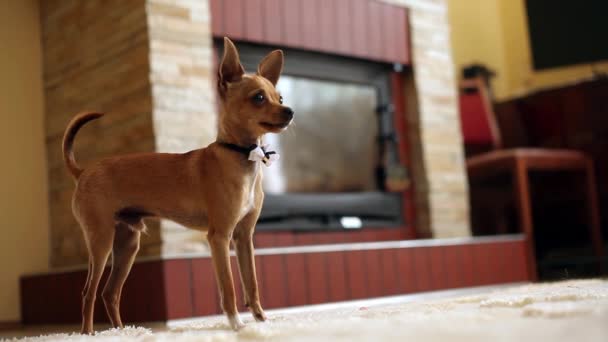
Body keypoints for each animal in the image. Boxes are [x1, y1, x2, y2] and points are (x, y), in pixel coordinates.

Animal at [64, 38, 292, 334]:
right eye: (259, 98)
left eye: (280, 98)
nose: (290, 111)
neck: (242, 155)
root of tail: (83, 171)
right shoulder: (220, 237)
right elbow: (229, 286)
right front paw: (237, 325)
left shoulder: (244, 238)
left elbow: (251, 284)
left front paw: (262, 321)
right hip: (101, 242)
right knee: (89, 292)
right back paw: (89, 333)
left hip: (127, 244)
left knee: (110, 293)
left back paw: (123, 331)